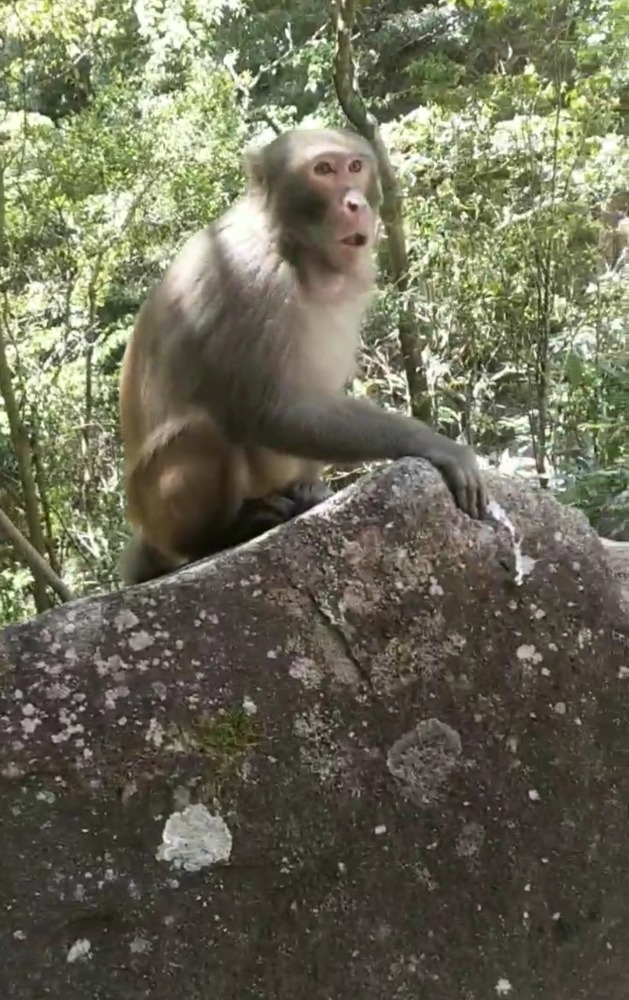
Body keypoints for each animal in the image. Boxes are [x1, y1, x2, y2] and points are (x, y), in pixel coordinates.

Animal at [119, 126, 487, 586]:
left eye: (354, 166)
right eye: (323, 170)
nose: (355, 202)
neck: (294, 246)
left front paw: (311, 487)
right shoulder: (251, 278)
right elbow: (272, 410)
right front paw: (435, 444)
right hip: (158, 509)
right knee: (203, 430)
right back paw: (223, 534)